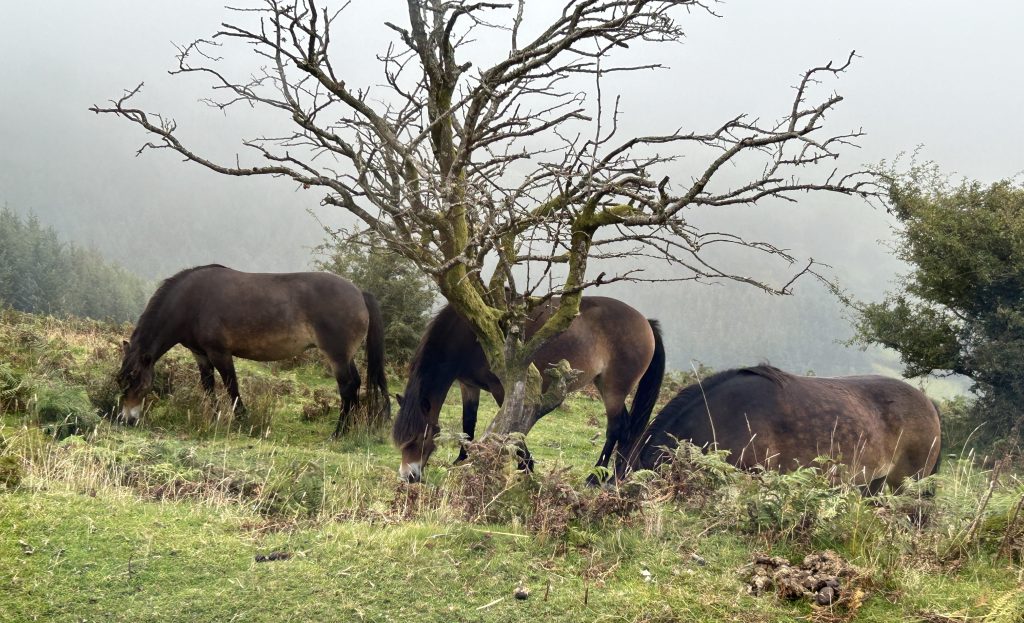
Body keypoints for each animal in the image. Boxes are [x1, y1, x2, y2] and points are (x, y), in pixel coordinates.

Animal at [116, 264, 387, 436]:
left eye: (137, 381)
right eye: (120, 381)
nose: (126, 420)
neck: (192, 301)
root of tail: (359, 293)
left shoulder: (220, 353)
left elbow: (231, 387)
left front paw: (242, 420)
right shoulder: (201, 355)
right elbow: (208, 387)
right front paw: (213, 418)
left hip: (336, 356)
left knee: (347, 387)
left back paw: (339, 432)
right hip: (346, 356)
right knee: (356, 384)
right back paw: (351, 429)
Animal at [389, 297, 663, 481]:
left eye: (420, 438)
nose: (407, 476)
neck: (468, 332)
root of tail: (645, 322)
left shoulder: (504, 388)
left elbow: (515, 427)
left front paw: (526, 466)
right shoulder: (468, 386)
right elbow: (468, 424)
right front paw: (461, 460)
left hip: (614, 389)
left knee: (617, 429)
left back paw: (596, 477)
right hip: (605, 386)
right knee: (627, 430)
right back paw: (616, 474)